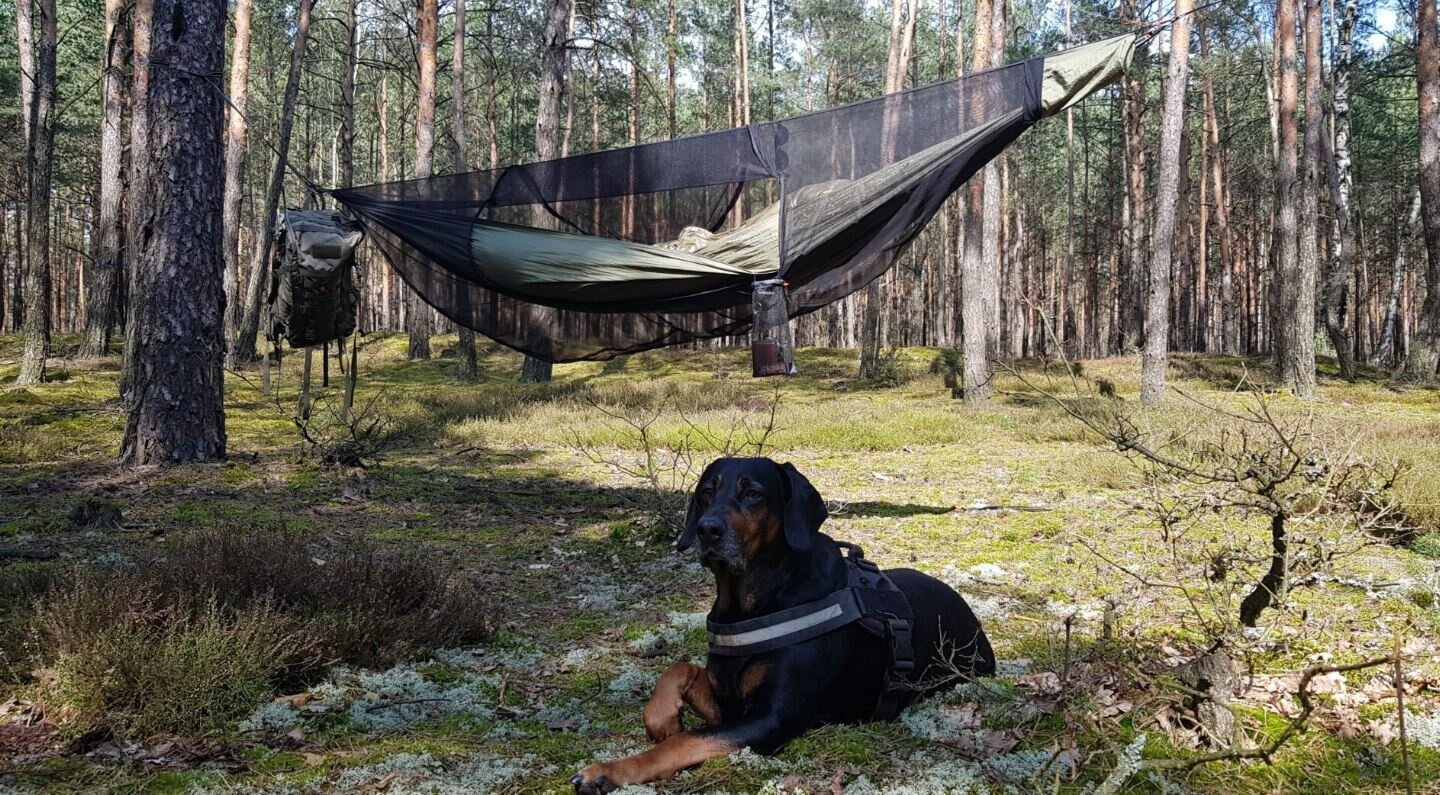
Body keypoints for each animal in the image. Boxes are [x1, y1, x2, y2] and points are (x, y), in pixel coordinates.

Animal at [567, 455, 996, 789]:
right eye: (706, 492)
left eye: (753, 493)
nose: (707, 529)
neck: (748, 604)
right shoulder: (729, 702)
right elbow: (678, 669)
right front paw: (662, 719)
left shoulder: (770, 718)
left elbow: (684, 741)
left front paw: (608, 771)